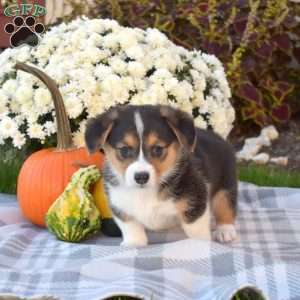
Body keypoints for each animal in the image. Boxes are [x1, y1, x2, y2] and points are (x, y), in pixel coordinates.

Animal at [84, 105, 237, 246]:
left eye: (158, 149)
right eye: (124, 150)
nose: (141, 177)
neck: (145, 193)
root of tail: (218, 137)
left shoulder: (195, 203)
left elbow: (196, 231)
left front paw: (199, 244)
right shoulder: (120, 206)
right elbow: (131, 227)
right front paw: (134, 244)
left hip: (226, 183)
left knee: (225, 205)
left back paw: (225, 231)